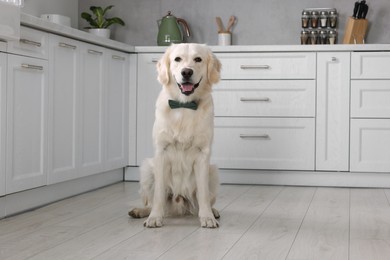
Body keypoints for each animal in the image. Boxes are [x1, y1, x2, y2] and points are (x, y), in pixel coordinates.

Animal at [129, 43, 222, 228]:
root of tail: (180, 201)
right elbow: (158, 194)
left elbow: (203, 194)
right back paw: (140, 211)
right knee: (150, 201)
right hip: (147, 168)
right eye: (177, 59)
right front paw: (154, 218)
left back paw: (213, 212)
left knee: (203, 200)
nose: (186, 72)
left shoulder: (203, 154)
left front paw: (207, 217)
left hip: (213, 171)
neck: (184, 106)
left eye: (198, 59)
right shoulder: (161, 152)